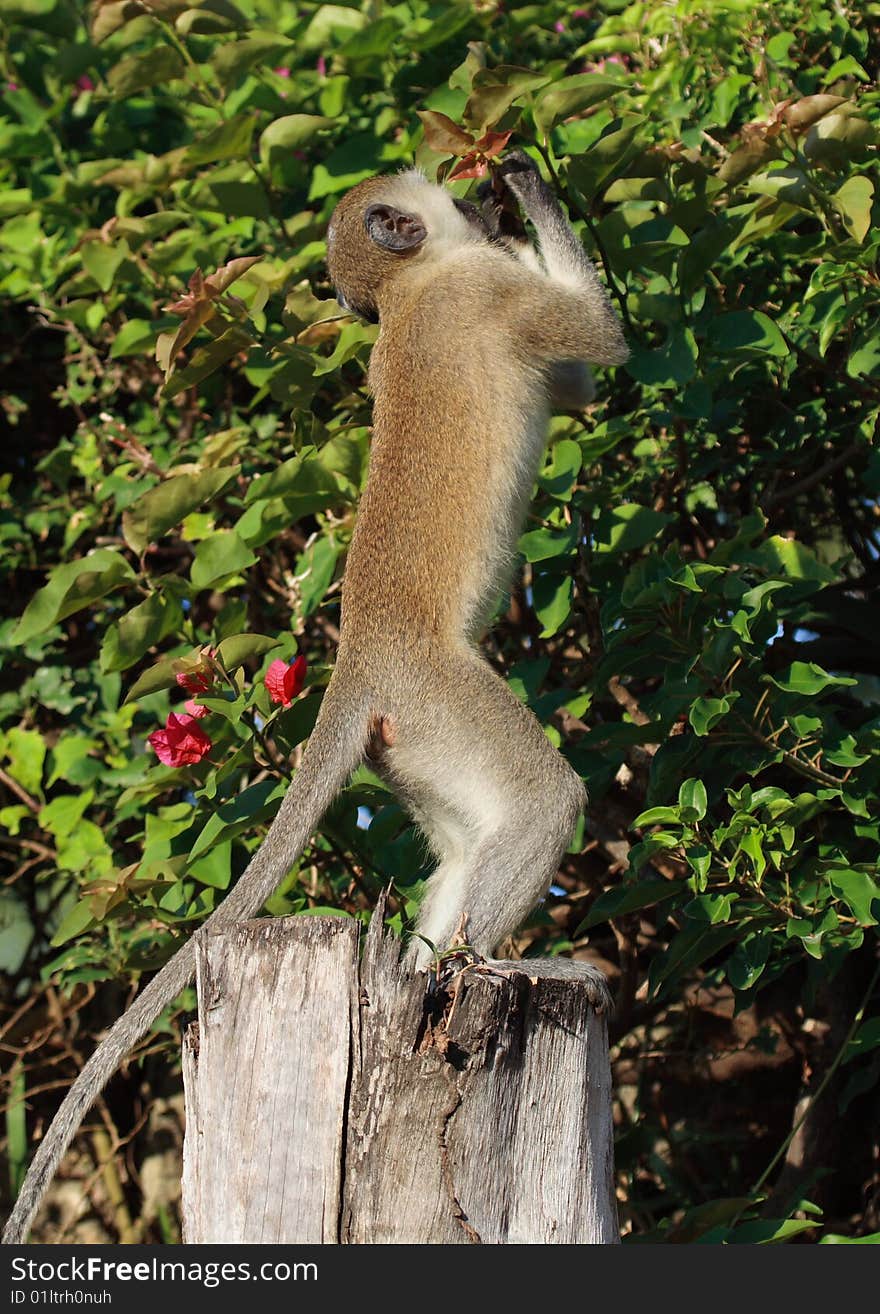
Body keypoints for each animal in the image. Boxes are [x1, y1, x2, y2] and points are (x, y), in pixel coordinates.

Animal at [5, 149, 627, 1245]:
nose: (472, 198)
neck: (417, 288)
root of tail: (359, 669)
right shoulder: (485, 292)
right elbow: (596, 349)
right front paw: (524, 185)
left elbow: (581, 380)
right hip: (445, 701)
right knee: (544, 801)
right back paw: (485, 962)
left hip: (412, 744)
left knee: (470, 844)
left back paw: (436, 969)